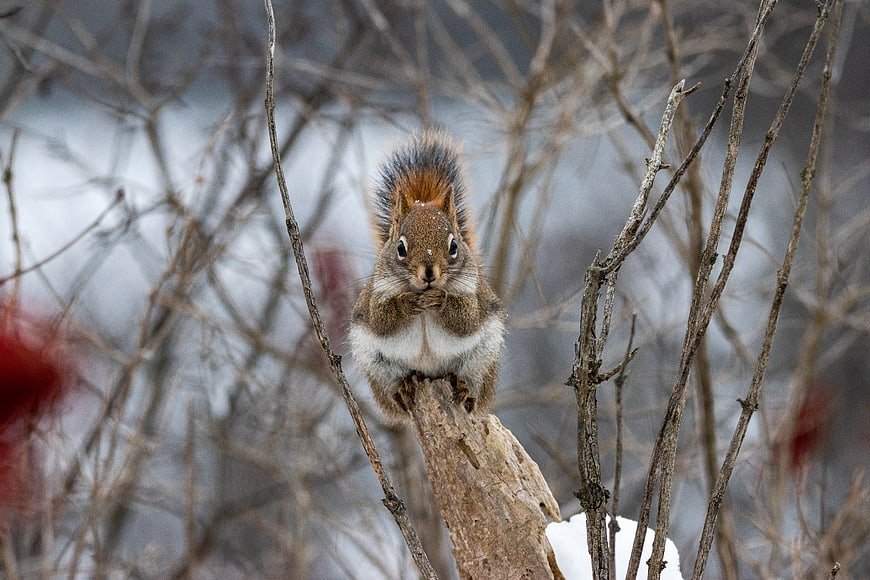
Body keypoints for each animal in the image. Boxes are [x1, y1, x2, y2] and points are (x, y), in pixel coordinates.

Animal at [349, 130, 506, 422]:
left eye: (453, 246)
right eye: (400, 248)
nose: (429, 273)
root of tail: (431, 376)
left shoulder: (472, 295)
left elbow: (465, 320)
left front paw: (440, 299)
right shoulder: (377, 294)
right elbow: (382, 320)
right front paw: (408, 302)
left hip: (481, 361)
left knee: (471, 385)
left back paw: (464, 389)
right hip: (378, 368)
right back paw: (404, 388)